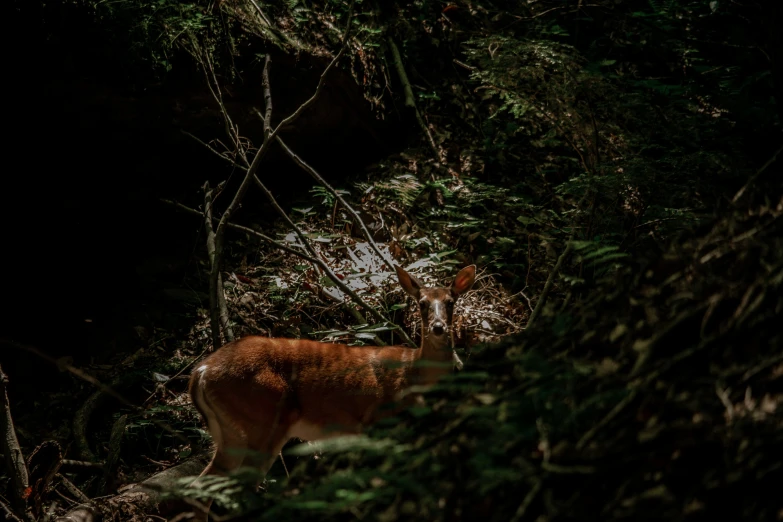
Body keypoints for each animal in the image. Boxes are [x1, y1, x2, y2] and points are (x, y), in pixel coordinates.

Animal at [188, 262, 478, 512]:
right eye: (422, 303)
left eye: (450, 302)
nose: (438, 328)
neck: (414, 373)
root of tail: (201, 371)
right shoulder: (376, 420)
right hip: (262, 420)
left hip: (231, 431)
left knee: (201, 486)